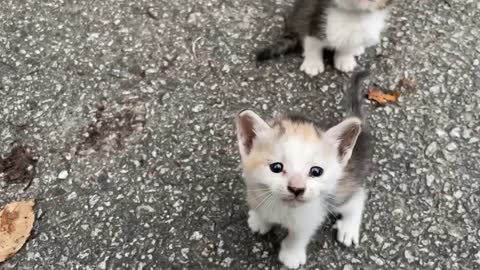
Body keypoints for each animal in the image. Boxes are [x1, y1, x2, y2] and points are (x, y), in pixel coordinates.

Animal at [234, 72, 374, 270]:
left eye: (316, 171)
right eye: (276, 167)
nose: (296, 188)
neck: (283, 209)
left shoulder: (312, 215)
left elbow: (298, 235)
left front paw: (291, 255)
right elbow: (261, 210)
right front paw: (260, 220)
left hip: (341, 188)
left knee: (357, 196)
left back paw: (349, 227)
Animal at [256, 0, 392, 76]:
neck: (354, 15)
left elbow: (350, 43)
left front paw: (345, 59)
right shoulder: (315, 15)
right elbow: (312, 43)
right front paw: (312, 64)